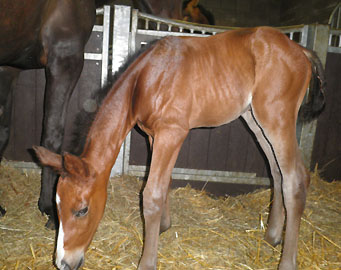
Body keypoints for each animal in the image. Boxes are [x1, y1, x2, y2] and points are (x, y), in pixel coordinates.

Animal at [33, 26, 324, 270]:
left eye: (81, 210)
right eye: (57, 205)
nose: (63, 263)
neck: (146, 80)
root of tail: (300, 50)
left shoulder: (172, 133)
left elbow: (151, 194)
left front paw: (147, 261)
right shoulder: (154, 136)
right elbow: (162, 183)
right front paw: (164, 225)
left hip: (277, 118)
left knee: (295, 179)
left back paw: (287, 261)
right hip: (255, 119)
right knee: (277, 173)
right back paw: (272, 235)